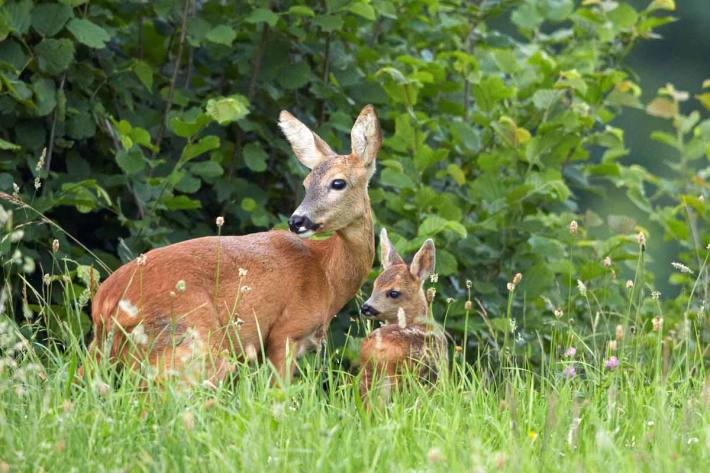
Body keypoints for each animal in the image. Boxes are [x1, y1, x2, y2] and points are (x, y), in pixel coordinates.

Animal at [87, 105, 384, 382]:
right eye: (307, 182)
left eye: (338, 183)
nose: (297, 220)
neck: (327, 275)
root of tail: (106, 303)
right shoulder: (286, 331)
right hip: (195, 341)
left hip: (104, 349)